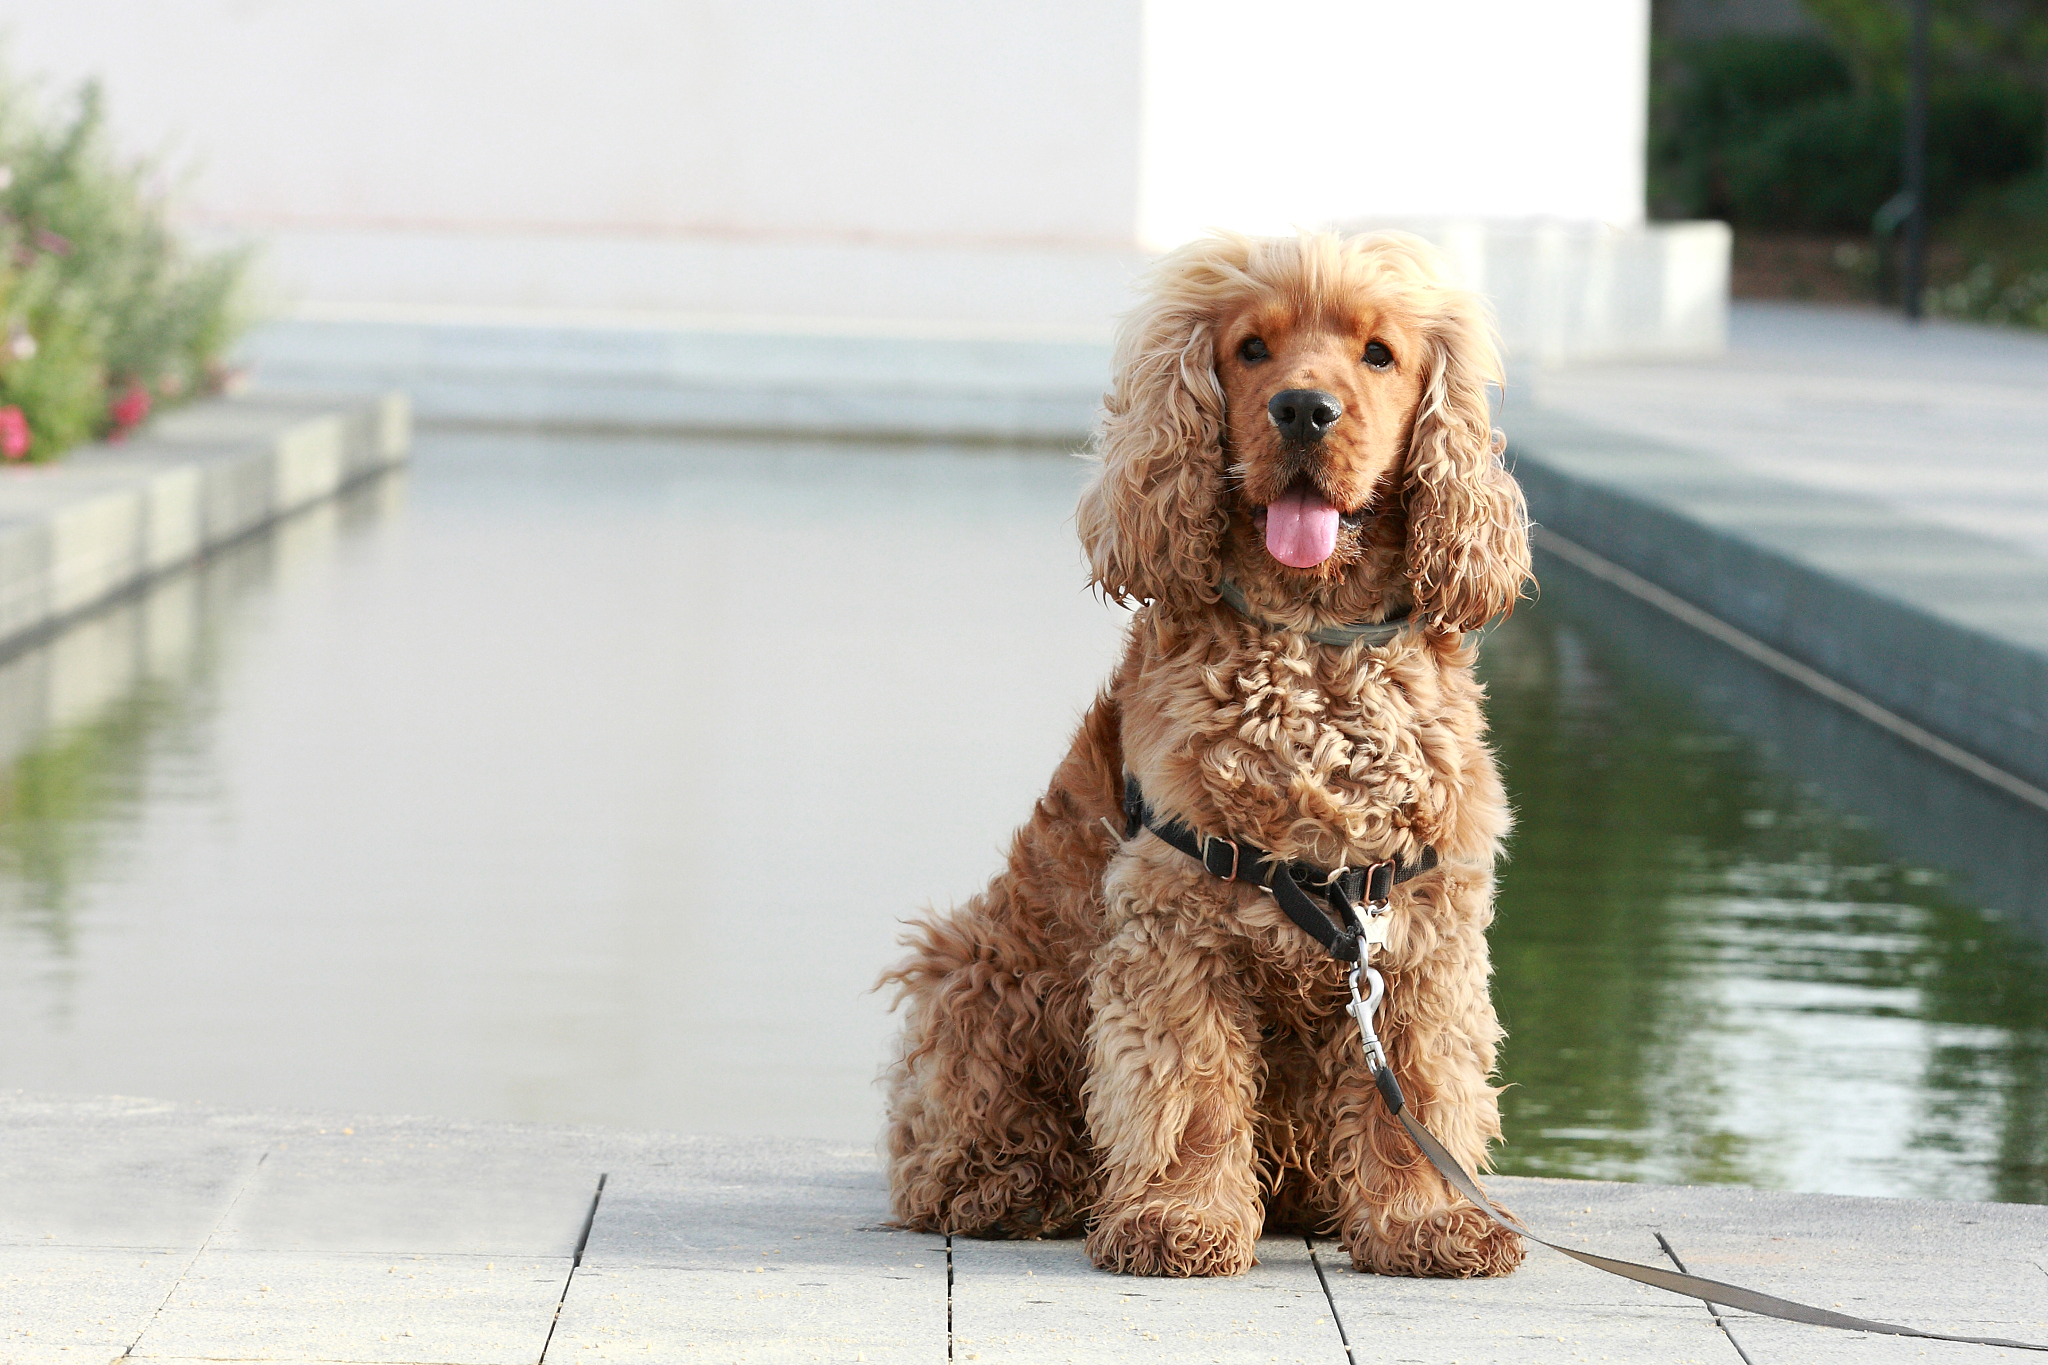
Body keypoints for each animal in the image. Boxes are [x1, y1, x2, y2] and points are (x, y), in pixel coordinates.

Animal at [880, 229, 1540, 1285]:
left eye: (1379, 354)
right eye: (1252, 349)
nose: (1304, 409)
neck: (1314, 647)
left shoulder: (1418, 931)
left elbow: (1415, 1086)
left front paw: (1427, 1220)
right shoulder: (1177, 920)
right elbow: (1187, 1083)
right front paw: (1179, 1219)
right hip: (974, 966)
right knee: (950, 1138)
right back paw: (1006, 1182)